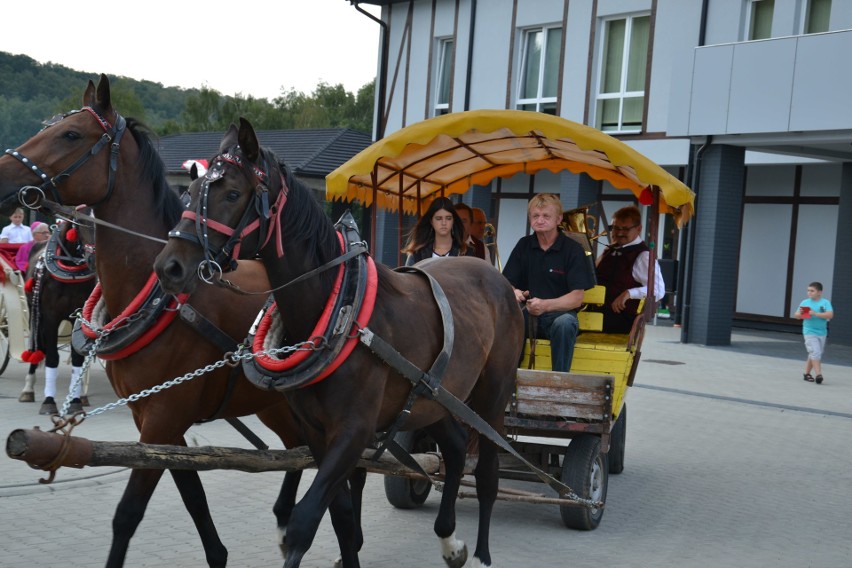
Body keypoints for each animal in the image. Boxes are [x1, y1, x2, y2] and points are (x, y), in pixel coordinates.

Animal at [19, 217, 96, 412]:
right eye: (81, 221)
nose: (94, 258)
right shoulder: (50, 317)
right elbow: (52, 357)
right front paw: (48, 401)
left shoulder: (78, 316)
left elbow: (77, 358)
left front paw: (75, 401)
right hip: (35, 315)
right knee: (37, 347)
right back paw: (28, 388)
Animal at [154, 117, 524, 564]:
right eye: (190, 192)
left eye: (232, 193)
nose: (169, 267)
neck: (338, 311)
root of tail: (495, 275)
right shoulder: (317, 433)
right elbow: (342, 518)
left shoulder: (354, 431)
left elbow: (304, 522)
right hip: (435, 398)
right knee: (453, 450)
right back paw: (449, 539)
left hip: (491, 396)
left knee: (486, 471)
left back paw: (483, 550)